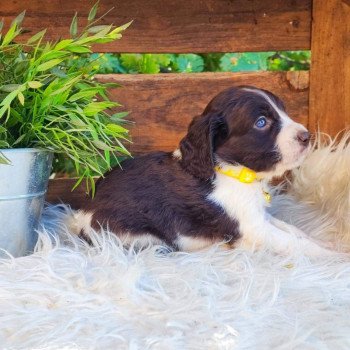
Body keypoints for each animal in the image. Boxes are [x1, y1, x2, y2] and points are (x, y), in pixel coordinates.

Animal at [71, 87, 330, 258]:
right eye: (261, 122)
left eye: (284, 111)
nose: (307, 136)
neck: (234, 172)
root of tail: (80, 217)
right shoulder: (252, 228)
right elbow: (291, 242)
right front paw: (332, 257)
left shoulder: (257, 216)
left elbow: (292, 229)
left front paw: (321, 241)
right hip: (136, 236)